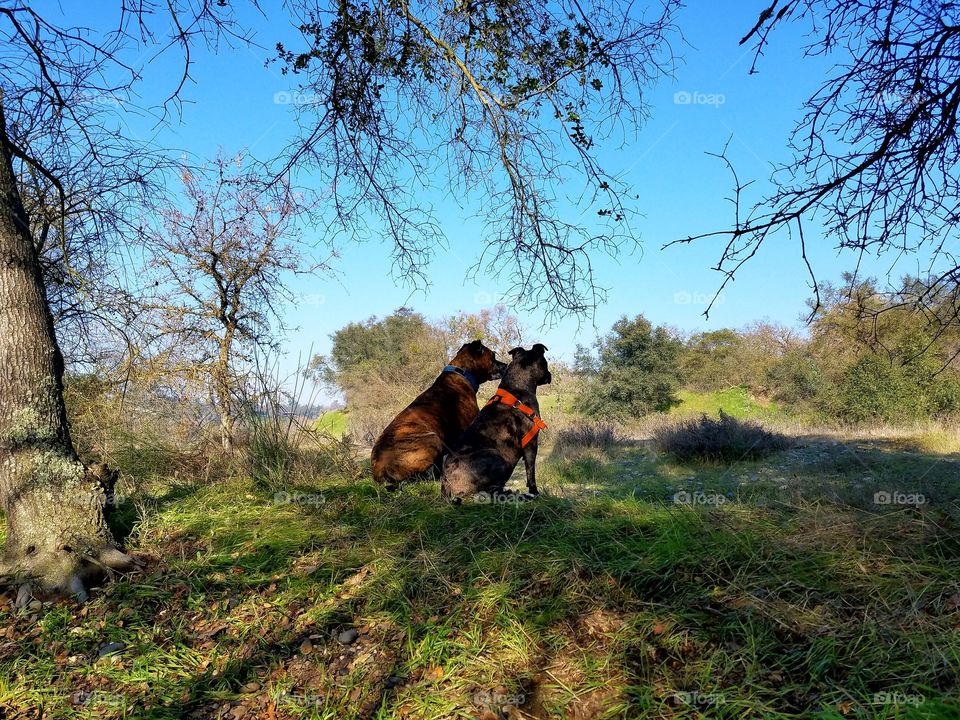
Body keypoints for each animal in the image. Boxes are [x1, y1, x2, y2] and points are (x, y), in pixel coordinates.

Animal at [440, 344, 552, 500]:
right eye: (545, 363)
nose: (550, 375)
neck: (516, 386)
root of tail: (446, 482)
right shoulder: (531, 443)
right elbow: (530, 471)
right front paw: (534, 492)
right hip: (498, 458)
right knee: (490, 491)